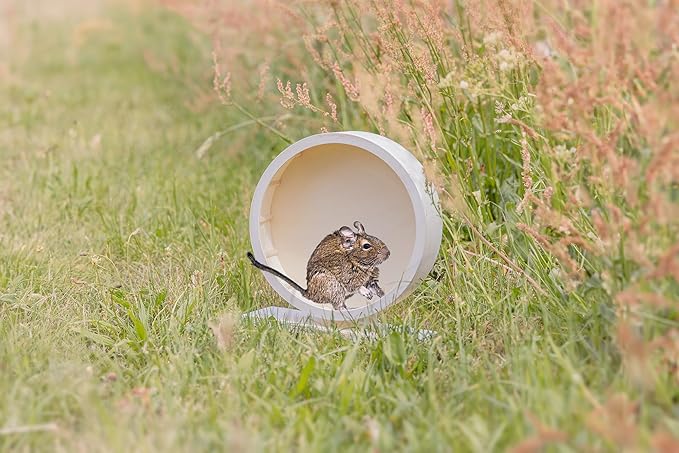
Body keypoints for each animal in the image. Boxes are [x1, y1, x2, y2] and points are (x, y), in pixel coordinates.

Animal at [247, 221, 390, 309]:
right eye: (366, 246)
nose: (388, 253)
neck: (355, 261)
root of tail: (308, 293)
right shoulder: (348, 279)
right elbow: (358, 287)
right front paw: (368, 294)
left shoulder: (371, 280)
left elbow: (375, 287)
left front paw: (382, 296)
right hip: (334, 286)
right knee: (338, 306)